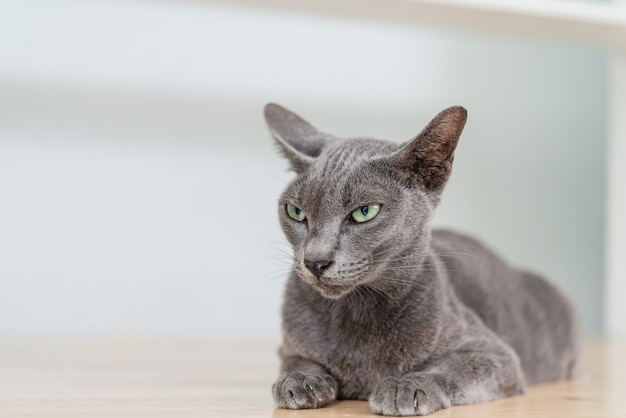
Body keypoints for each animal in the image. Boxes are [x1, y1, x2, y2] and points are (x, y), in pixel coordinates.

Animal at [266, 103, 576, 416]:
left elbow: (451, 369)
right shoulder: (288, 347)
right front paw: (300, 380)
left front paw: (405, 387)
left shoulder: (495, 354)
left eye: (365, 212)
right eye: (295, 212)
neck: (355, 312)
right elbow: (296, 359)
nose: (315, 261)